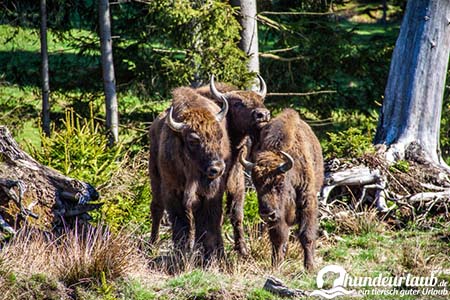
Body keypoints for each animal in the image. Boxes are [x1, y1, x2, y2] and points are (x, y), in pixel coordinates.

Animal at [149, 85, 230, 258]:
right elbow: (181, 222)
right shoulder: (172, 191)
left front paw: (210, 253)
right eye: (193, 140)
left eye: (220, 136)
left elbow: (208, 223)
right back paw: (152, 245)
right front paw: (182, 251)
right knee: (157, 208)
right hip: (155, 178)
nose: (217, 168)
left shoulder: (210, 194)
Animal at [194, 75, 268, 255]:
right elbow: (216, 216)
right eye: (237, 103)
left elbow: (236, 213)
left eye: (261, 100)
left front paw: (243, 250)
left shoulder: (237, 181)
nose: (263, 114)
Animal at [239, 108, 324, 270]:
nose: (267, 214)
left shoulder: (308, 201)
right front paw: (276, 265)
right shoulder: (278, 217)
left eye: (279, 184)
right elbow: (278, 238)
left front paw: (309, 267)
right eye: (256, 185)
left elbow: (307, 235)